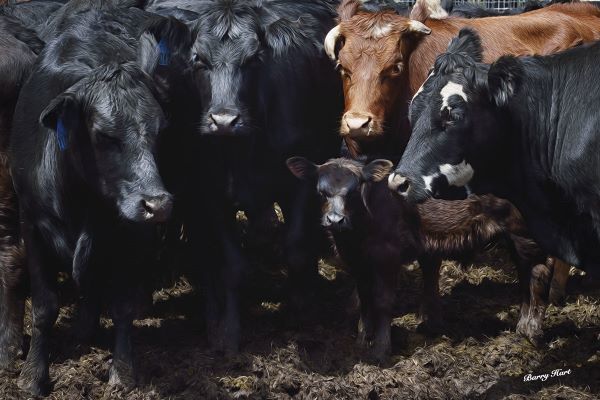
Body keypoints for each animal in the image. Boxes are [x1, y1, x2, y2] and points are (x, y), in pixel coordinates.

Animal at [7, 10, 190, 396]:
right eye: (105, 135)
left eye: (160, 129)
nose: (157, 204)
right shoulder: (31, 223)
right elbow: (44, 306)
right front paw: (32, 374)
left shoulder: (132, 235)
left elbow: (121, 305)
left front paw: (123, 371)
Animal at [146, 0, 342, 354]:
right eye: (198, 59)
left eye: (254, 60)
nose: (224, 120)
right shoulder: (209, 192)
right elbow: (232, 266)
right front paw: (228, 331)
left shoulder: (300, 181)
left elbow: (296, 248)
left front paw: (301, 309)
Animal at [288, 158, 556, 360]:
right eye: (321, 192)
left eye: (354, 191)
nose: (335, 220)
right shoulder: (358, 262)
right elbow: (365, 300)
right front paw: (363, 340)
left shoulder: (388, 255)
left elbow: (383, 300)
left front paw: (381, 349)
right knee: (525, 273)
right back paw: (521, 326)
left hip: (523, 232)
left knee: (539, 271)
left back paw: (533, 331)